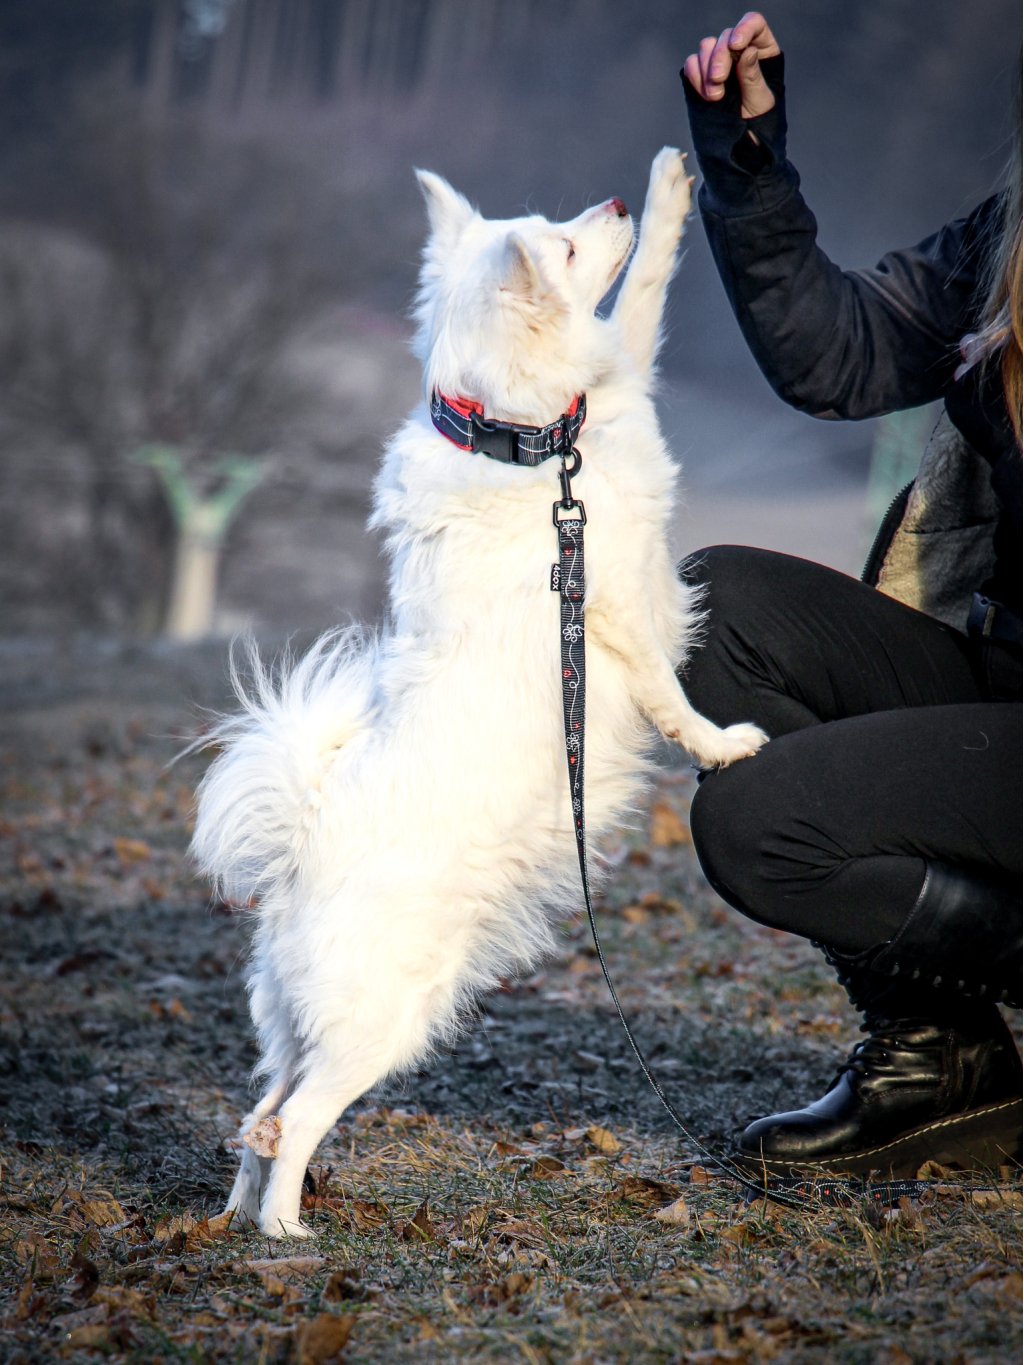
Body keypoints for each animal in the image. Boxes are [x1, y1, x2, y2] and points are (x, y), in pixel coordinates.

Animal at [191, 149, 770, 1239]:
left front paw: (673, 189)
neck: (527, 442)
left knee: (261, 1111)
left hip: (308, 1020)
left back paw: (240, 1218)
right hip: (385, 1015)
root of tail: (300, 853)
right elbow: (672, 699)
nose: (615, 200)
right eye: (567, 246)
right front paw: (723, 747)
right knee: (295, 1119)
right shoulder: (613, 604)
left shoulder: (618, 402)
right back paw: (285, 1233)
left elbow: (641, 306)